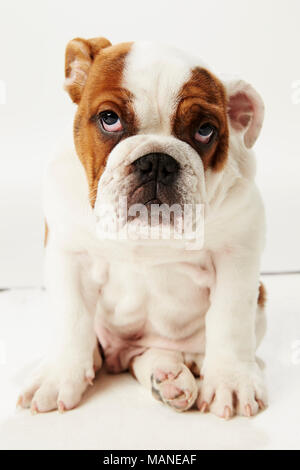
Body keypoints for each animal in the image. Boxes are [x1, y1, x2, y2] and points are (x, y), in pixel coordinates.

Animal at [18, 37, 268, 418]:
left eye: (205, 130)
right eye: (109, 119)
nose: (158, 161)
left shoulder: (237, 255)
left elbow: (231, 320)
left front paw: (231, 380)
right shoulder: (69, 254)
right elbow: (70, 317)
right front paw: (59, 374)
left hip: (260, 301)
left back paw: (176, 372)